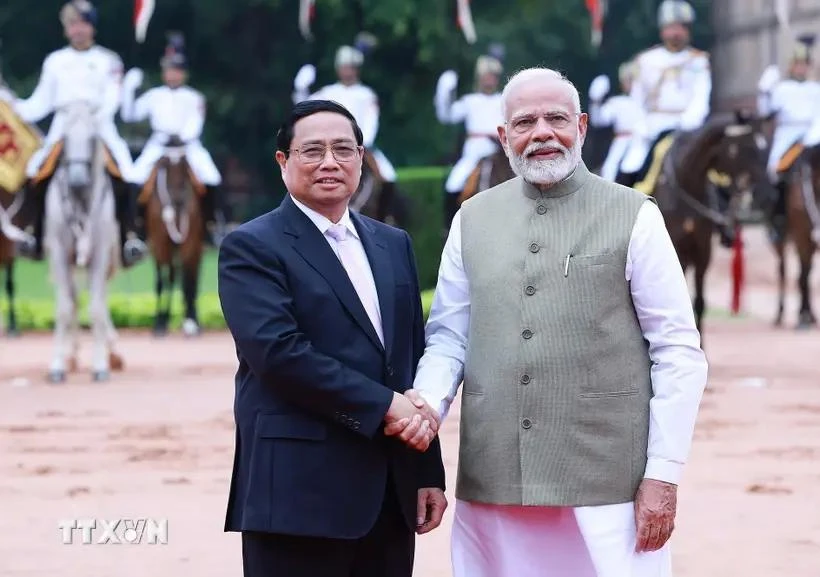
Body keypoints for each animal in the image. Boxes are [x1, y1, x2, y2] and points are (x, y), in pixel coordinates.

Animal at [45, 101, 123, 382]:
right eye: (65, 138)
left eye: (92, 138)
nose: (77, 179)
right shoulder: (59, 253)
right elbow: (65, 307)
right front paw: (57, 365)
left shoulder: (100, 254)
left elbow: (97, 307)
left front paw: (100, 365)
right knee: (74, 298)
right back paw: (71, 355)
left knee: (98, 299)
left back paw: (112, 351)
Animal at [142, 141, 205, 336]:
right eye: (164, 165)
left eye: (185, 167)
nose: (177, 201)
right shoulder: (159, 243)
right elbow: (163, 281)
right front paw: (160, 323)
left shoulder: (190, 242)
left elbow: (186, 279)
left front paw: (190, 323)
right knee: (170, 276)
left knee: (192, 277)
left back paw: (193, 318)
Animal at [652, 112, 772, 332]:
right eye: (748, 148)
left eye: (764, 147)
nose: (768, 194)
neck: (687, 183)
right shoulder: (677, 249)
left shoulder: (703, 251)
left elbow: (699, 303)